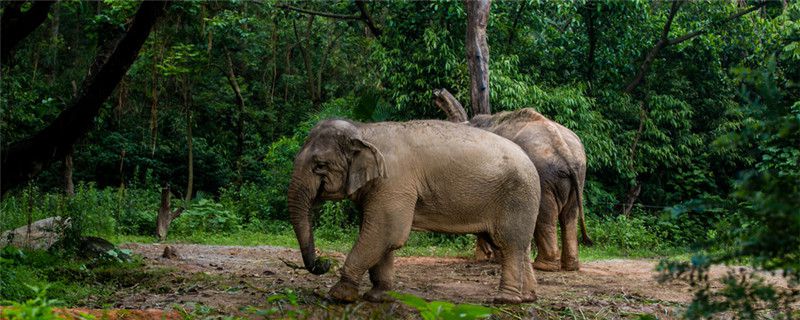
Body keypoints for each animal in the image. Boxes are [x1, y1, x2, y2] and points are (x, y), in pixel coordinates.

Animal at [288, 119, 544, 304]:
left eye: (320, 165)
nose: (323, 263)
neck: (364, 130)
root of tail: (530, 160)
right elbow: (380, 236)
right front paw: (378, 297)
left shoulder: (393, 183)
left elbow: (387, 233)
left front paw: (338, 295)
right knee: (519, 246)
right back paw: (527, 297)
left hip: (516, 197)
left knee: (509, 244)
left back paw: (505, 300)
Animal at [468, 109, 592, 272]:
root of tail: (566, 152)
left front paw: (494, 258)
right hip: (579, 174)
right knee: (570, 215)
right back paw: (570, 266)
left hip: (543, 175)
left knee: (545, 214)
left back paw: (543, 266)